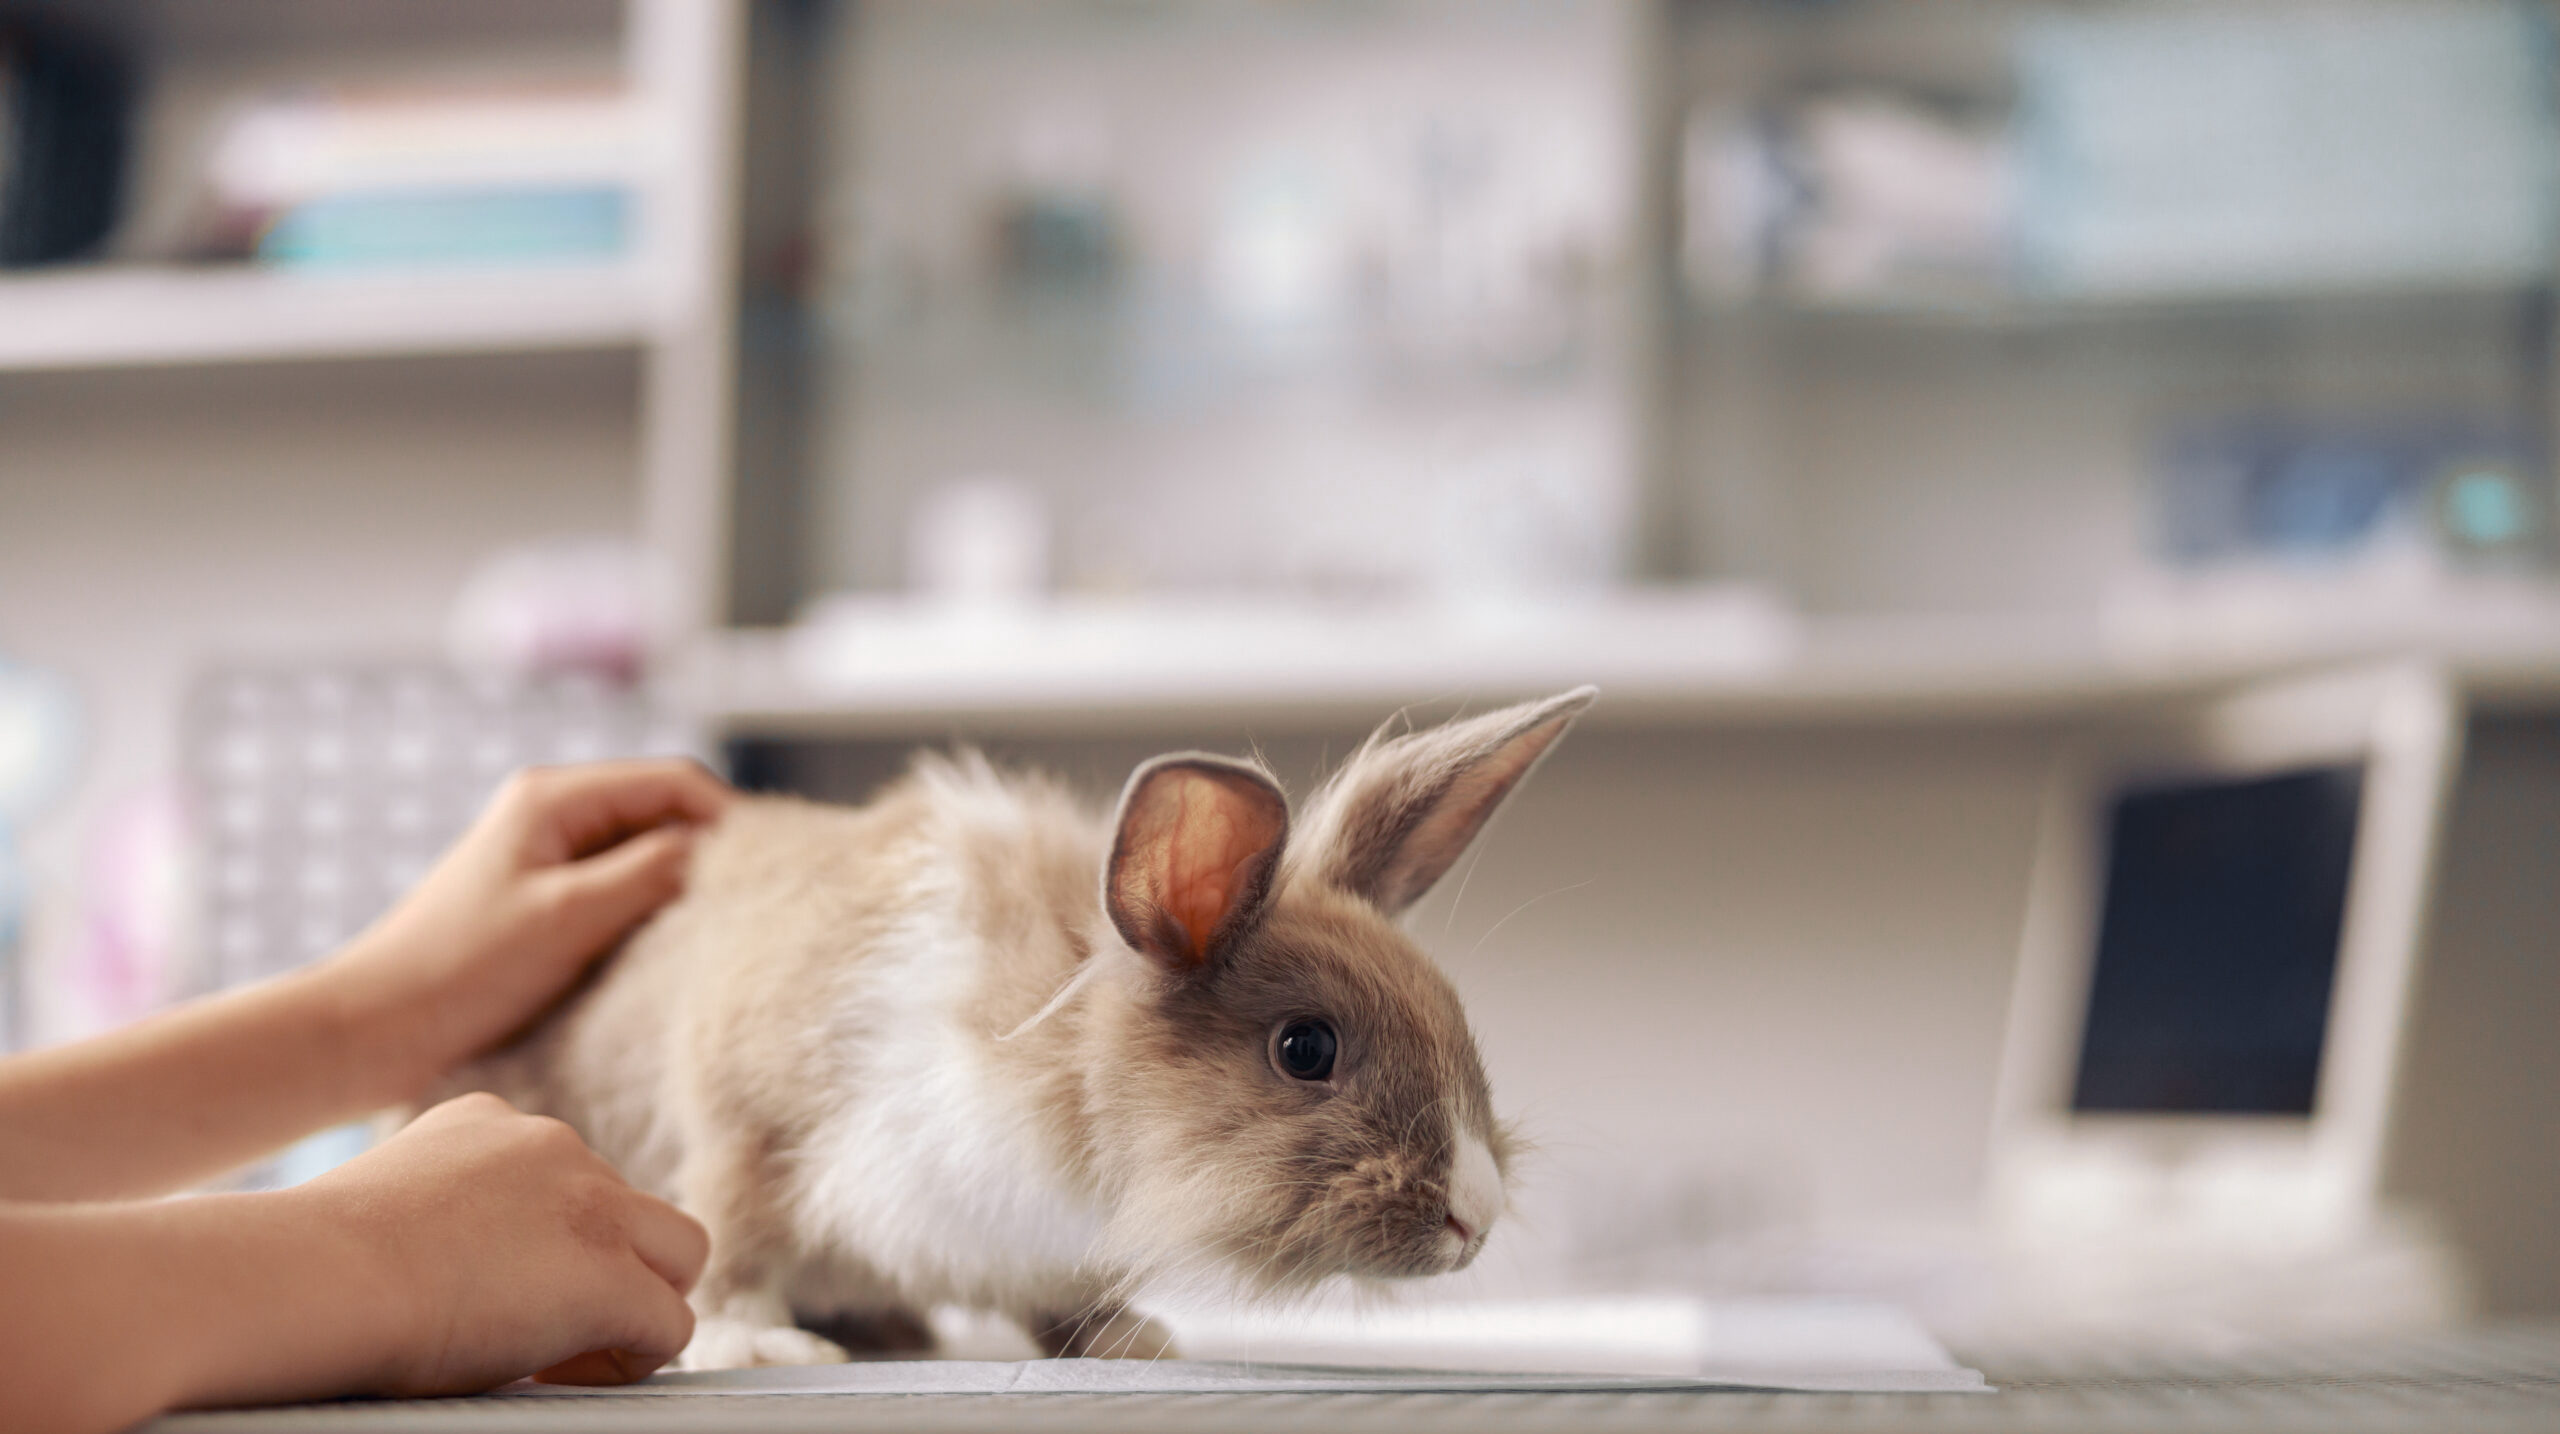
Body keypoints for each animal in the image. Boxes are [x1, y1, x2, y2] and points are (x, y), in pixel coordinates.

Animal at [434, 686, 1595, 1371]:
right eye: (1305, 1049)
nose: (1475, 1215)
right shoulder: (745, 1127)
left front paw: (1135, 1342)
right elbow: (728, 1240)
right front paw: (753, 1348)